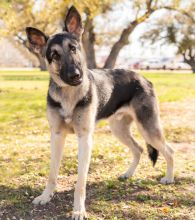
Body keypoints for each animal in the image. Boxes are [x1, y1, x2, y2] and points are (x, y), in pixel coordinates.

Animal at [25, 6, 174, 219]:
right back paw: (128, 174)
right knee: (138, 149)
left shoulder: (84, 138)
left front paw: (79, 209)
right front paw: (46, 196)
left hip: (148, 128)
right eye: (54, 55)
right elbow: (52, 172)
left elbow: (80, 182)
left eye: (73, 48)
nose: (75, 76)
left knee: (169, 150)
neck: (69, 94)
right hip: (119, 130)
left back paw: (169, 177)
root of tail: (143, 77)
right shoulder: (57, 136)